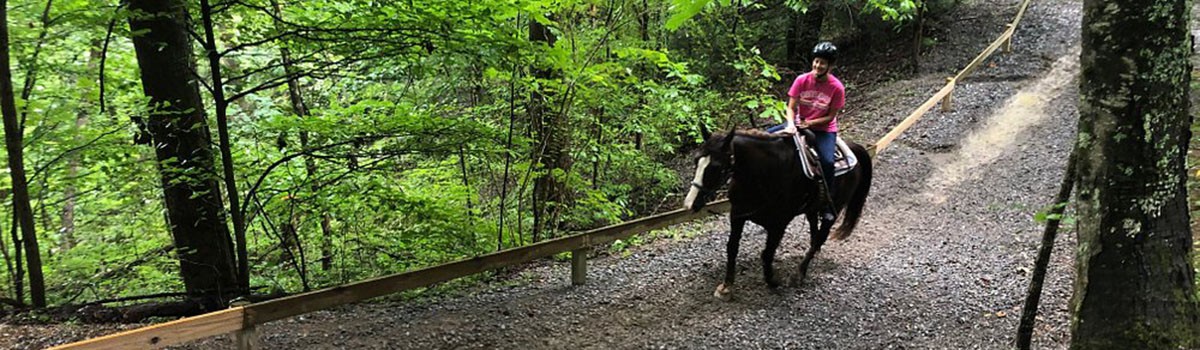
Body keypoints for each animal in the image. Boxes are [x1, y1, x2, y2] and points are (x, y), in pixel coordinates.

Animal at [686, 128, 873, 298]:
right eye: (696, 160)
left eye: (715, 167)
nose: (690, 203)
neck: (763, 174)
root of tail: (853, 147)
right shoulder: (737, 215)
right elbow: (732, 248)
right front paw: (726, 286)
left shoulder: (779, 224)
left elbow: (767, 253)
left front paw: (773, 281)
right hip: (812, 208)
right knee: (814, 232)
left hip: (835, 209)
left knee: (820, 236)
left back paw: (799, 274)